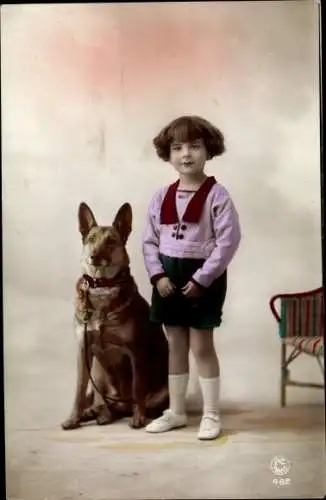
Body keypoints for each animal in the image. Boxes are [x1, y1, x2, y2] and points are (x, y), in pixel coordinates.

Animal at [61, 200, 169, 430]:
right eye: (91, 239)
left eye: (111, 241)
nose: (94, 256)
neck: (102, 286)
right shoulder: (83, 350)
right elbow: (79, 389)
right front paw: (73, 418)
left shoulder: (136, 352)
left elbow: (137, 388)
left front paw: (138, 418)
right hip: (97, 371)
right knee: (99, 399)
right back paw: (95, 412)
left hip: (162, 391)